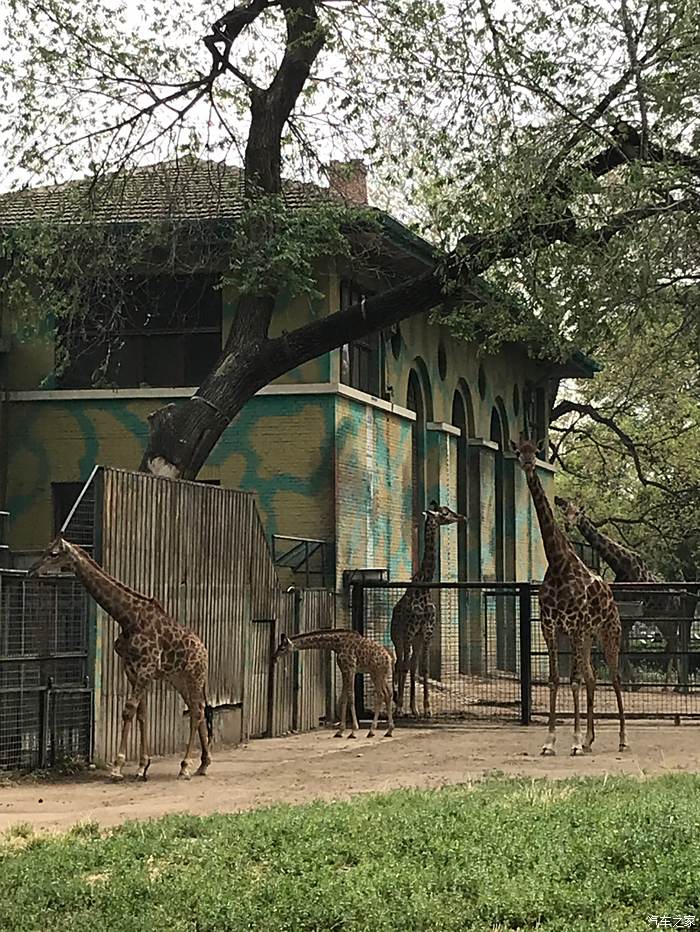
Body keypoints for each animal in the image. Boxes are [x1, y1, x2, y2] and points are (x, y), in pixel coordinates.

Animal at [28, 532, 213, 780]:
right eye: (45, 549)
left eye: (54, 553)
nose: (31, 571)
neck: (128, 618)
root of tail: (204, 650)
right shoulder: (131, 670)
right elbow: (141, 714)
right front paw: (142, 766)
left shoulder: (145, 669)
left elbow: (128, 711)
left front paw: (117, 767)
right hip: (179, 679)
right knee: (197, 709)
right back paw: (203, 764)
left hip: (194, 675)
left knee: (197, 712)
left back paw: (185, 767)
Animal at [392, 498, 468, 716]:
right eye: (444, 513)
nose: (462, 516)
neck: (424, 588)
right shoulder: (409, 632)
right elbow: (405, 666)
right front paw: (399, 708)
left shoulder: (426, 633)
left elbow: (423, 668)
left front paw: (425, 709)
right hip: (398, 638)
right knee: (400, 663)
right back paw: (398, 704)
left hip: (415, 640)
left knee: (411, 664)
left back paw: (412, 707)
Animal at [508, 438, 628, 756]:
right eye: (518, 451)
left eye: (534, 451)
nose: (527, 464)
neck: (559, 562)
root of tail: (611, 597)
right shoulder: (550, 627)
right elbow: (555, 680)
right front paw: (550, 741)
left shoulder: (574, 626)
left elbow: (572, 681)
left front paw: (572, 741)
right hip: (588, 636)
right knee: (592, 676)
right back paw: (589, 739)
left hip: (608, 632)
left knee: (614, 677)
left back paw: (622, 739)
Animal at [556, 496, 696, 692]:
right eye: (565, 511)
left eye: (578, 513)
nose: (568, 525)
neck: (621, 565)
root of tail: (677, 598)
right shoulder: (625, 612)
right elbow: (622, 645)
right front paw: (628, 683)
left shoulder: (632, 613)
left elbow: (623, 645)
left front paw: (631, 683)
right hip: (662, 620)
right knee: (672, 644)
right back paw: (673, 686)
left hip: (670, 619)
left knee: (673, 645)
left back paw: (671, 686)